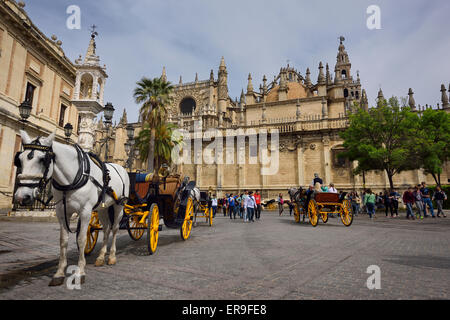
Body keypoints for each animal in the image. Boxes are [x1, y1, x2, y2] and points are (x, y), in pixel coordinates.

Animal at [14, 131, 129, 286]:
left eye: (43, 159)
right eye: (19, 159)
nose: (22, 197)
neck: (72, 179)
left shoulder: (85, 212)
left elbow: (81, 239)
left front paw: (80, 272)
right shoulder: (61, 212)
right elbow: (63, 240)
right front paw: (59, 273)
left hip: (119, 205)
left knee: (115, 229)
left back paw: (111, 257)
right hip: (103, 208)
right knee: (106, 229)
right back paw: (100, 257)